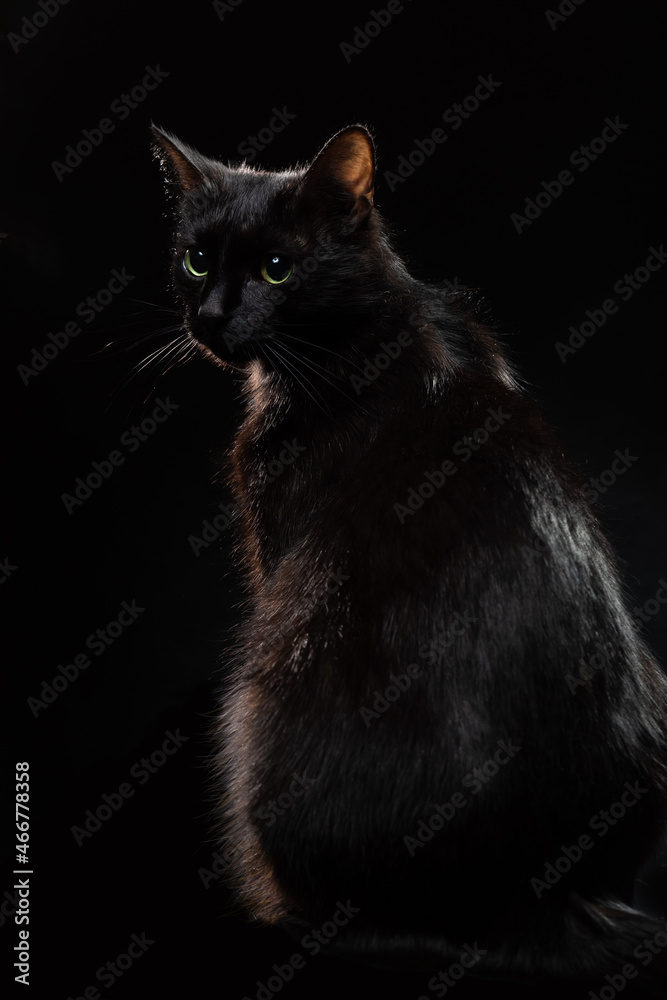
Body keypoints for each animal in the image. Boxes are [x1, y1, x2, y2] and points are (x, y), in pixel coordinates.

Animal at [151, 121, 667, 980]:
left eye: (276, 268)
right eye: (195, 258)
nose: (213, 316)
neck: (374, 326)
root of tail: (540, 890)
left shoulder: (276, 546)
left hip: (259, 699)